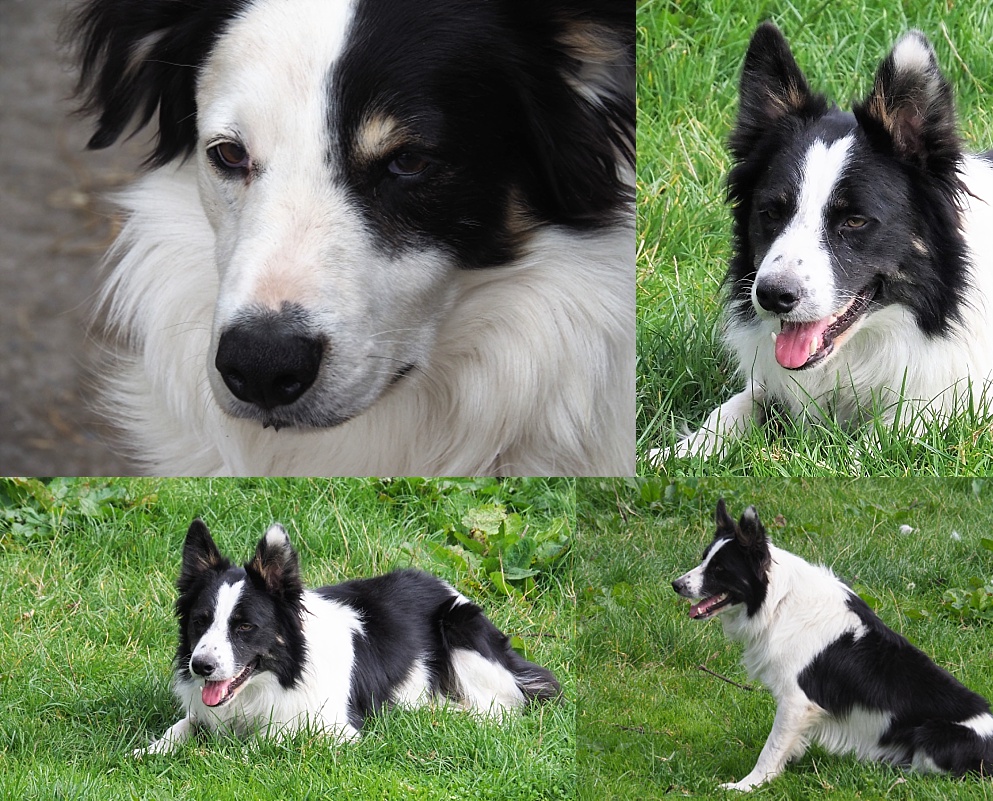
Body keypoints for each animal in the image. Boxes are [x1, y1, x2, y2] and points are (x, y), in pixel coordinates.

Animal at [136, 520, 560, 752]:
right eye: (200, 621)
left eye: (244, 626)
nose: (201, 666)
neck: (280, 676)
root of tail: (443, 585)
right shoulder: (204, 712)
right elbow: (182, 726)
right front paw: (148, 751)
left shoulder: (333, 729)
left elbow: (265, 739)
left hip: (460, 627)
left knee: (500, 707)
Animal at [672, 25, 992, 456]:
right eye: (771, 212)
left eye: (854, 220)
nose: (772, 296)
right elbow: (735, 405)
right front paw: (675, 454)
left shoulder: (937, 402)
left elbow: (872, 448)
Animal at [676, 500, 992, 788]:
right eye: (704, 559)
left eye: (719, 569)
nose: (675, 584)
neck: (780, 601)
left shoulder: (796, 701)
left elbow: (771, 749)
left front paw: (748, 785)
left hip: (932, 734)